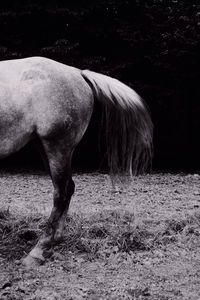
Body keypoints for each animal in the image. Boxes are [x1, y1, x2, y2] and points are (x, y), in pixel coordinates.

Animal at [0, 55, 153, 264]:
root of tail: (78, 73)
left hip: (57, 146)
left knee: (61, 193)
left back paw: (39, 250)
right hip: (46, 147)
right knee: (67, 188)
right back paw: (55, 239)